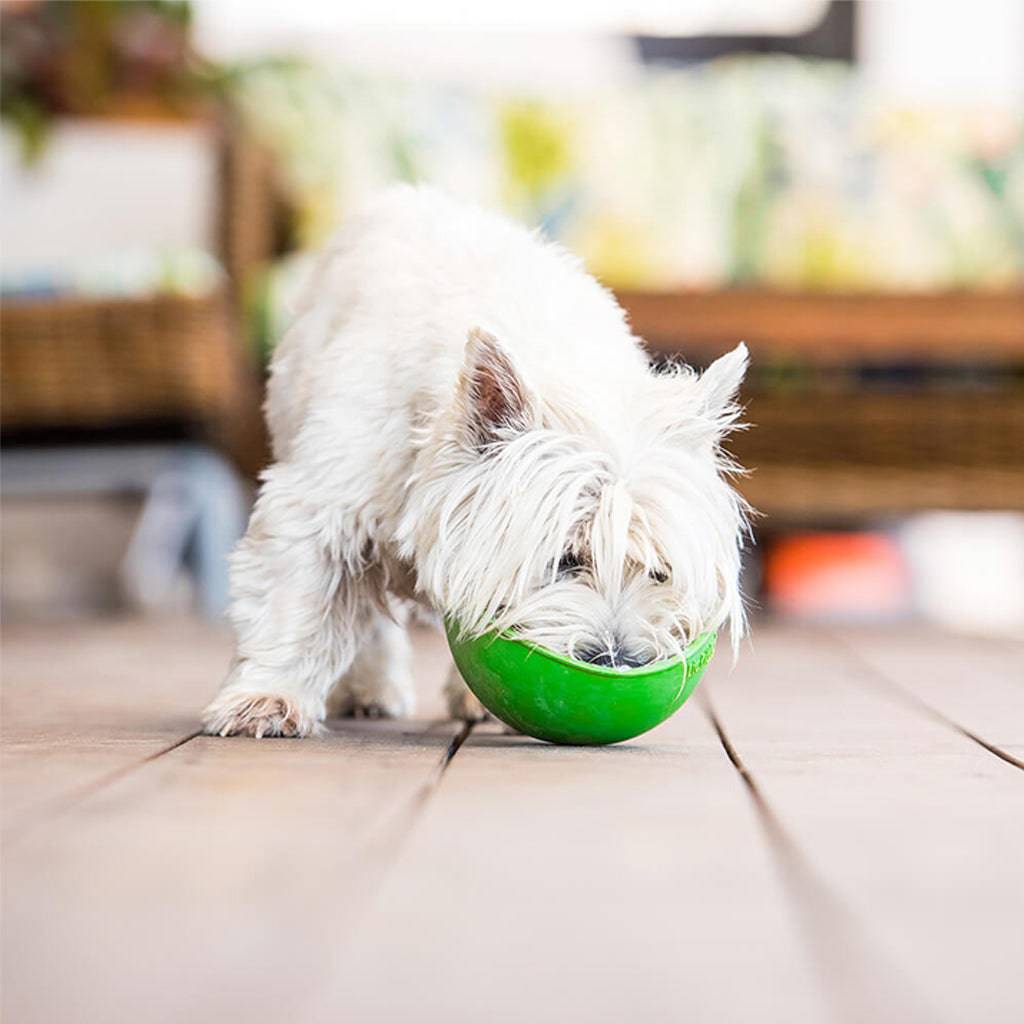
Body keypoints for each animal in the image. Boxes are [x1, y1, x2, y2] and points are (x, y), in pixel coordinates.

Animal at [203, 186, 749, 737]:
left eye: (659, 571)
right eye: (565, 559)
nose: (618, 660)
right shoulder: (324, 500)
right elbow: (297, 599)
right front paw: (268, 698)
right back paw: (370, 690)